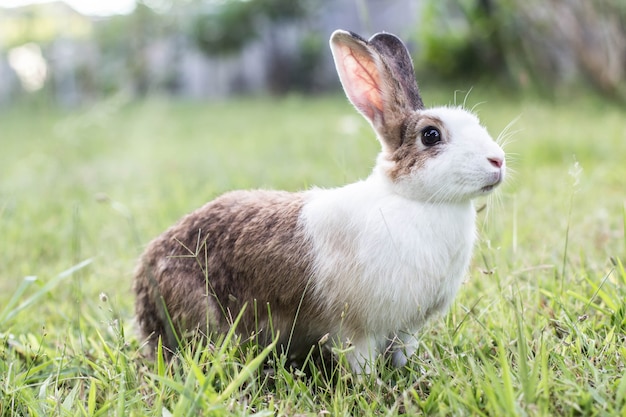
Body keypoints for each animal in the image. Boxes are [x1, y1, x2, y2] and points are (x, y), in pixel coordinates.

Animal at [132, 30, 502, 374]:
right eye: (431, 135)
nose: (497, 160)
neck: (411, 198)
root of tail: (142, 284)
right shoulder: (355, 331)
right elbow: (361, 363)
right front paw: (370, 387)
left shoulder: (405, 330)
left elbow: (402, 353)